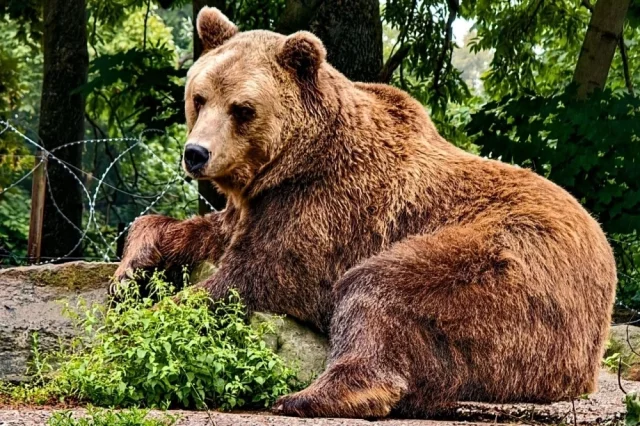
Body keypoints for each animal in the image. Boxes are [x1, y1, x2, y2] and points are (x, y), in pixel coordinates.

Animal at [114, 7, 618, 419]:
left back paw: (312, 395)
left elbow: (259, 274)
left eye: (242, 109)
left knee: (379, 288)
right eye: (199, 97)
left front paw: (150, 319)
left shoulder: (328, 205)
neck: (293, 163)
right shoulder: (254, 206)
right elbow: (202, 231)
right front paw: (131, 269)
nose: (196, 153)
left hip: (509, 265)